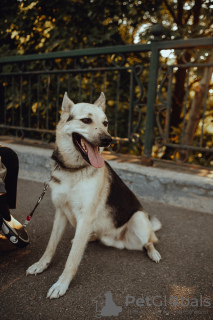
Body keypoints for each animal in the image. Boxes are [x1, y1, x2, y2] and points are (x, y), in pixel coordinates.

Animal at [26, 91, 161, 298]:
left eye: (105, 122)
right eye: (86, 120)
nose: (108, 139)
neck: (73, 170)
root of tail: (117, 239)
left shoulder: (85, 216)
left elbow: (72, 258)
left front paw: (62, 284)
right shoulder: (61, 212)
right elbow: (51, 245)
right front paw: (41, 265)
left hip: (138, 219)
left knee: (151, 240)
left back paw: (153, 252)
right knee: (92, 236)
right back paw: (87, 237)